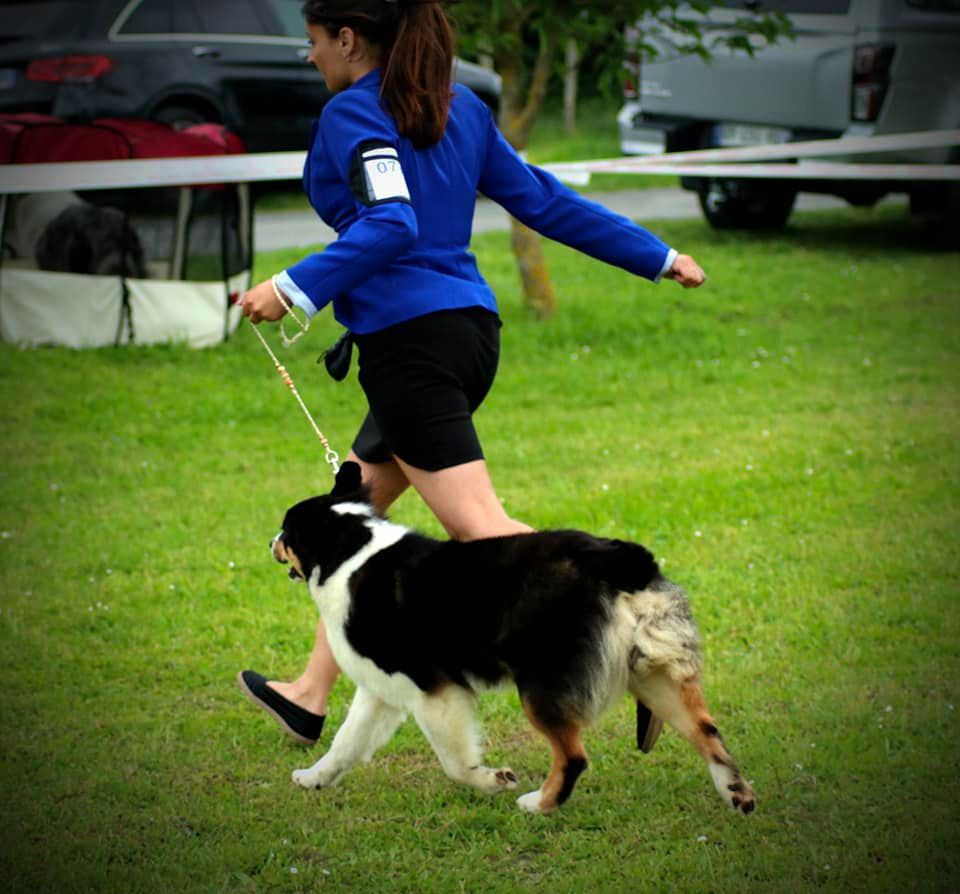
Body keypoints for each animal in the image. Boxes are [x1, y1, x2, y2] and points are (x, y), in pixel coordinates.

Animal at [272, 462, 756, 820]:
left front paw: (492, 780)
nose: (271, 542)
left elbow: (454, 762)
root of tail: (618, 560)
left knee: (574, 756)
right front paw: (313, 778)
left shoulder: (432, 690)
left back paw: (538, 805)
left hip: (541, 684)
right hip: (654, 672)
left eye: (287, 530)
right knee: (707, 730)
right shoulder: (381, 686)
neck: (349, 550)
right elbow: (346, 741)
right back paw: (737, 793)